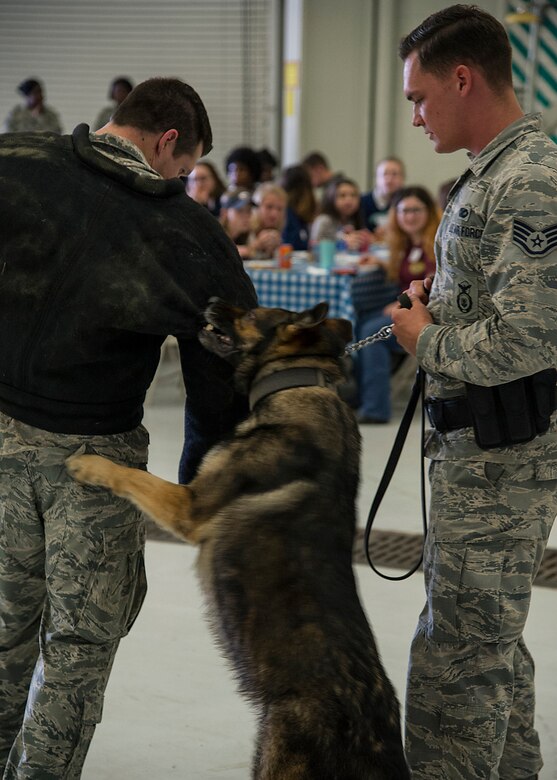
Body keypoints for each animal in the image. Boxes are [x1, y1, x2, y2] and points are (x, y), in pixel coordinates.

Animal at [67, 300, 410, 780]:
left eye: (253, 311)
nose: (211, 302)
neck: (297, 382)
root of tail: (375, 736)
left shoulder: (188, 506)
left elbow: (133, 475)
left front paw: (90, 465)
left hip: (274, 757)